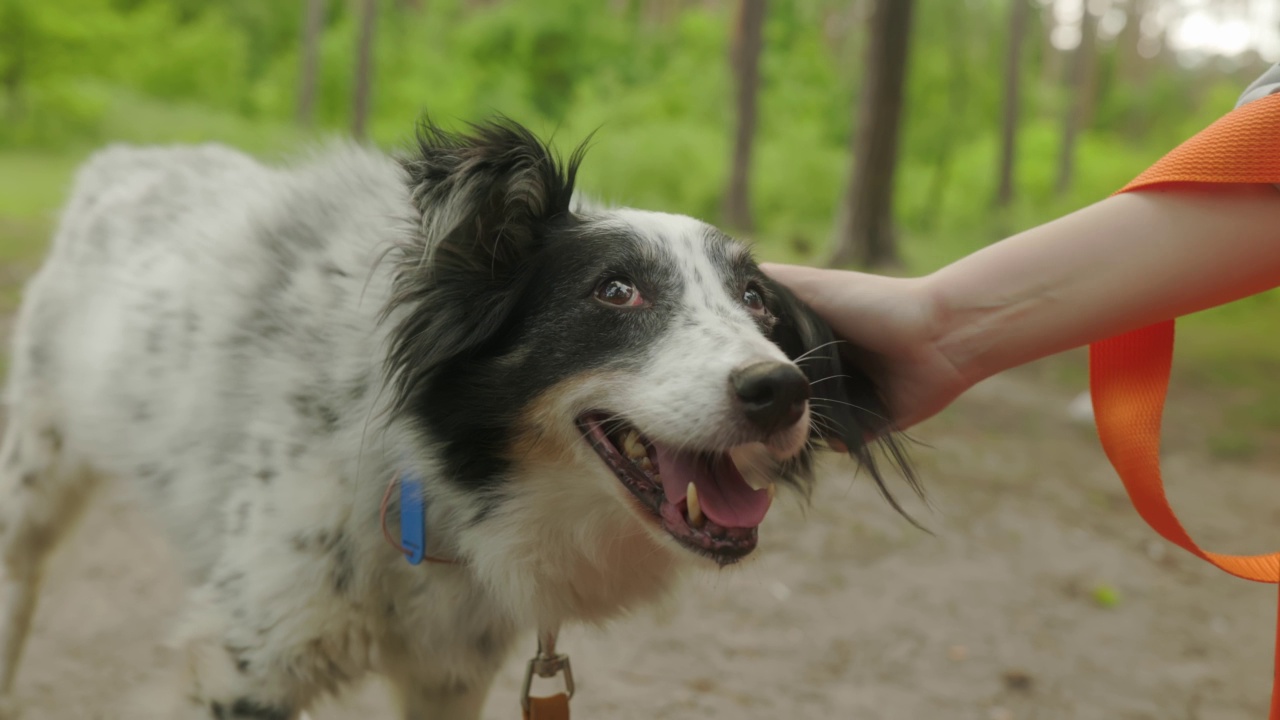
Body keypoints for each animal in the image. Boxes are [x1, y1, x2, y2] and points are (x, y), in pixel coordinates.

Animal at [0, 119, 916, 717]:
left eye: (756, 300)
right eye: (615, 290)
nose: (781, 391)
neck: (433, 488)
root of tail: (121, 161)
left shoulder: (450, 675)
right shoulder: (243, 662)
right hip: (28, 493)